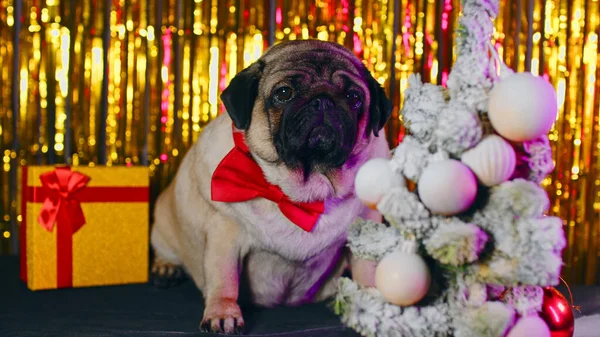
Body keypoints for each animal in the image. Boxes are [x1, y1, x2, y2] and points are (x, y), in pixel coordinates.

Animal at [150, 39, 394, 334]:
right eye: (284, 93)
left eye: (354, 97)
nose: (323, 101)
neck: (301, 192)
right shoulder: (224, 234)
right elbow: (224, 279)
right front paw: (223, 313)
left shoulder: (365, 231)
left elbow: (368, 271)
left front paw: (372, 308)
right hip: (163, 224)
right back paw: (165, 269)